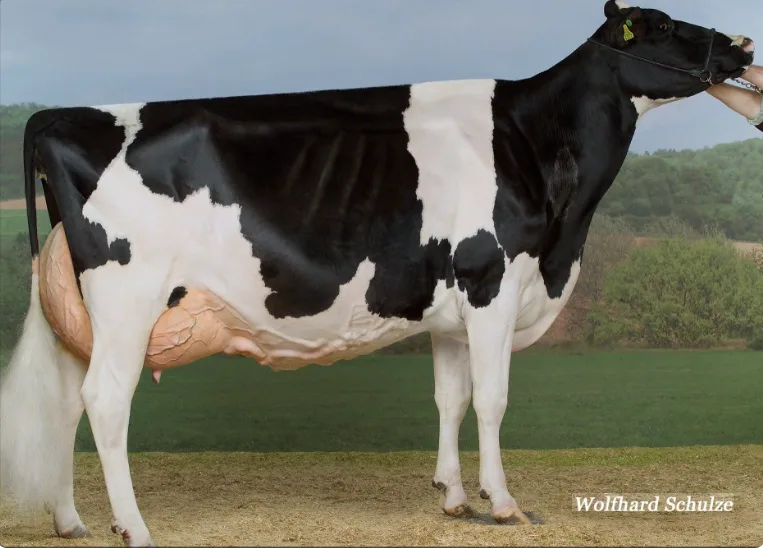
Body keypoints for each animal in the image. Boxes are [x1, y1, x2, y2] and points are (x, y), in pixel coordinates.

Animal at [0, 1, 754, 546]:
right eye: (663, 25)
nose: (744, 45)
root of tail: (63, 114)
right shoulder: (491, 282)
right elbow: (492, 399)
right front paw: (502, 502)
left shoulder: (449, 308)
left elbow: (450, 398)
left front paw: (454, 496)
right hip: (128, 295)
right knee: (105, 401)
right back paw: (134, 527)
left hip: (85, 314)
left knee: (67, 403)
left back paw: (71, 521)